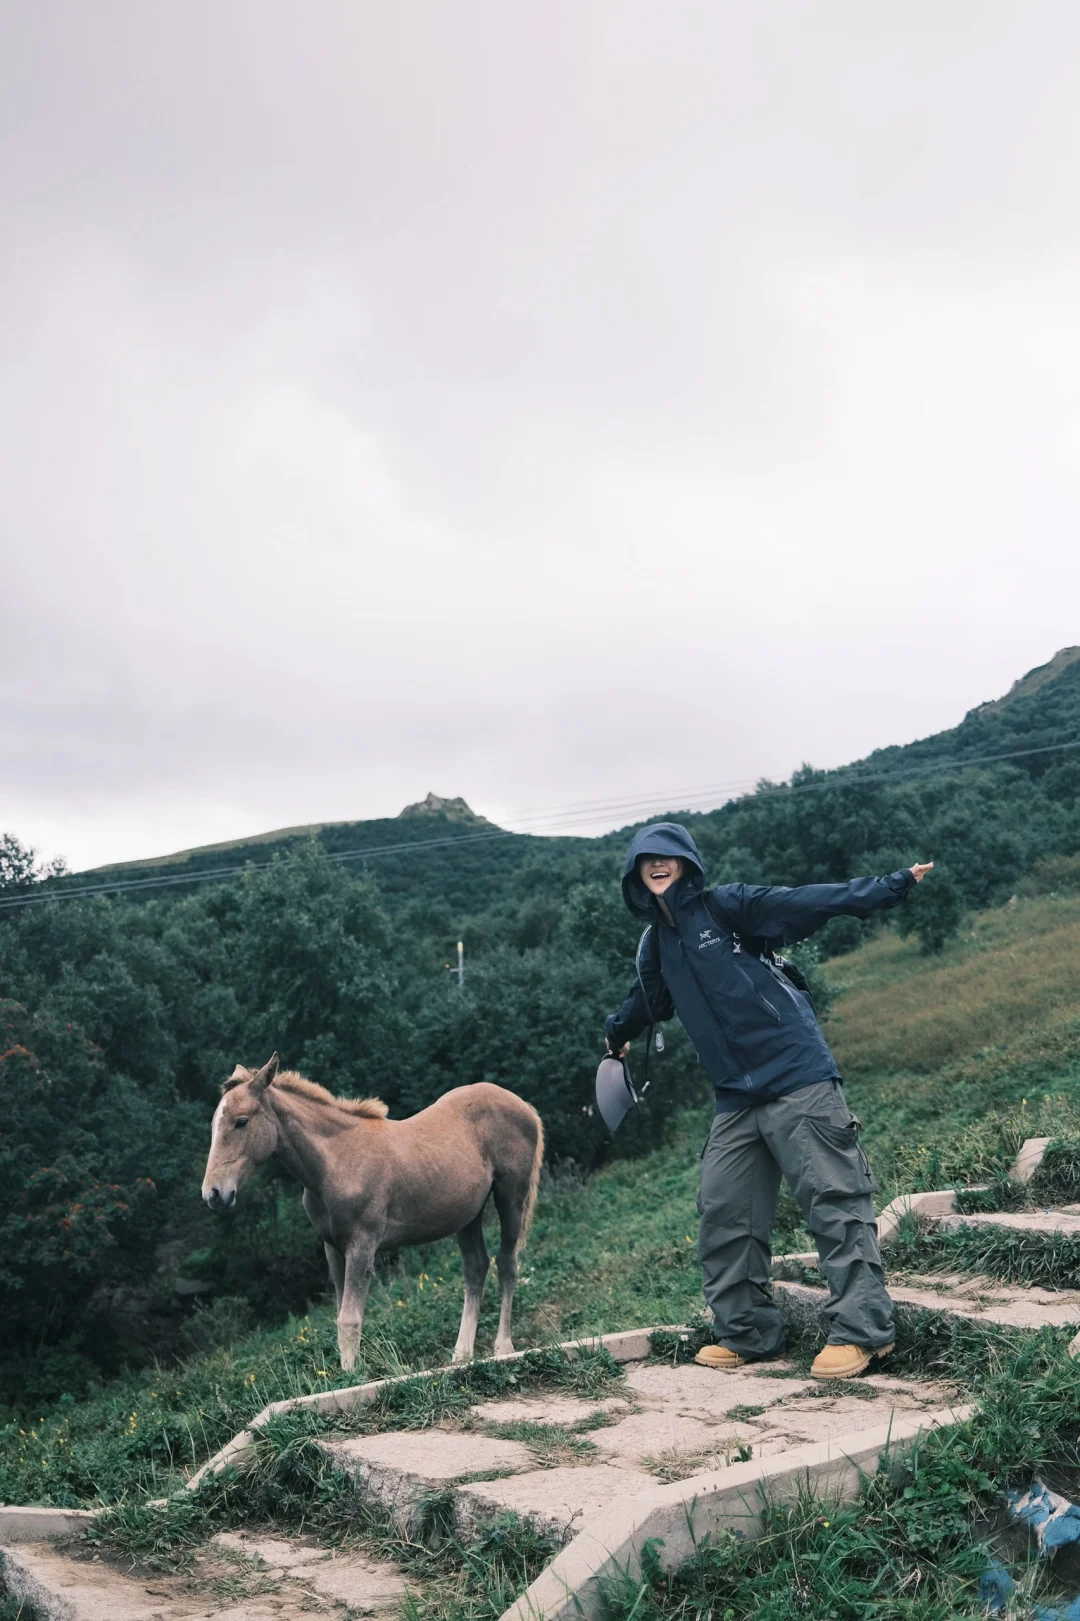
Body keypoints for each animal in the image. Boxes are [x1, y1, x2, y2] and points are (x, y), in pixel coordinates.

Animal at [198, 1050, 541, 1368]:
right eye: (214, 1124)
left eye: (241, 1121)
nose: (213, 1193)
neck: (336, 1161)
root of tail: (525, 1107)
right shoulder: (333, 1248)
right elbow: (340, 1316)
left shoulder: (361, 1245)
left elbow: (349, 1319)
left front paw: (351, 1376)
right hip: (468, 1215)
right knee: (476, 1267)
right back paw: (461, 1354)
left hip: (511, 1197)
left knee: (507, 1263)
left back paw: (503, 1347)